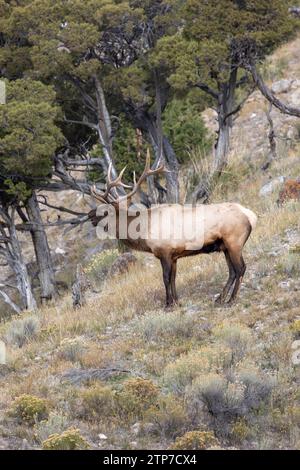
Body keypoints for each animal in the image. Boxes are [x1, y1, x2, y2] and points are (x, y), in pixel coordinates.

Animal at [90, 152, 256, 308]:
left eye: (106, 211)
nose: (90, 215)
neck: (144, 231)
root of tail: (251, 215)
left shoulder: (164, 252)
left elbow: (165, 278)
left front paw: (168, 303)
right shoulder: (174, 256)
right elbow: (173, 278)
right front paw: (177, 301)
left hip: (234, 242)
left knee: (240, 268)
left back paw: (231, 299)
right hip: (225, 247)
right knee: (232, 271)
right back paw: (220, 299)